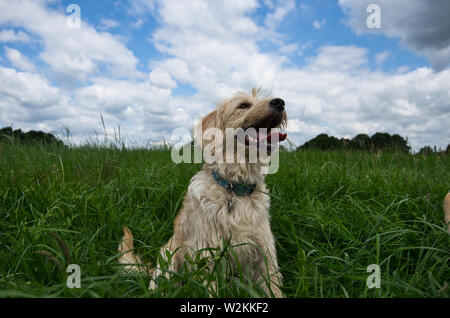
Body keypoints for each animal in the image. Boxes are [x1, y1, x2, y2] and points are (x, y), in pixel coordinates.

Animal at [118, 88, 288, 296]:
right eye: (243, 105)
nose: (280, 102)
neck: (234, 187)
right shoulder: (207, 257)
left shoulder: (265, 254)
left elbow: (274, 288)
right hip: (168, 261)